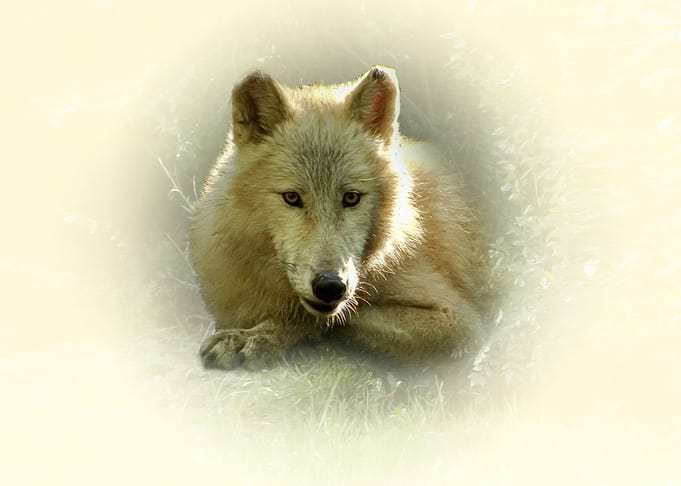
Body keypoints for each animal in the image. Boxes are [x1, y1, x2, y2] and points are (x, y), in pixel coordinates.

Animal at [190, 65, 483, 370]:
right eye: (292, 197)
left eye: (351, 198)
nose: (330, 286)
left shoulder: (459, 322)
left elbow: (331, 316)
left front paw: (256, 338)